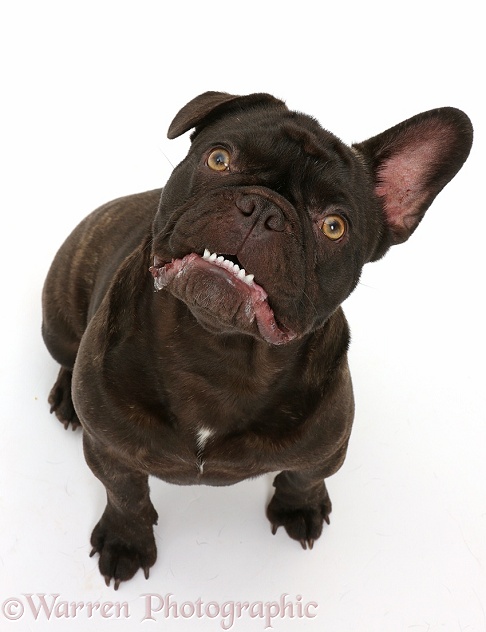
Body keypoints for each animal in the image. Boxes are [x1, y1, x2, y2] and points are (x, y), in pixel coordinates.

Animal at [41, 92, 470, 588]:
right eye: (219, 159)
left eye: (334, 227)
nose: (265, 210)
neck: (218, 349)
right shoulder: (109, 449)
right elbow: (125, 495)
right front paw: (125, 542)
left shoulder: (328, 448)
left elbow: (304, 477)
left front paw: (299, 509)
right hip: (58, 321)